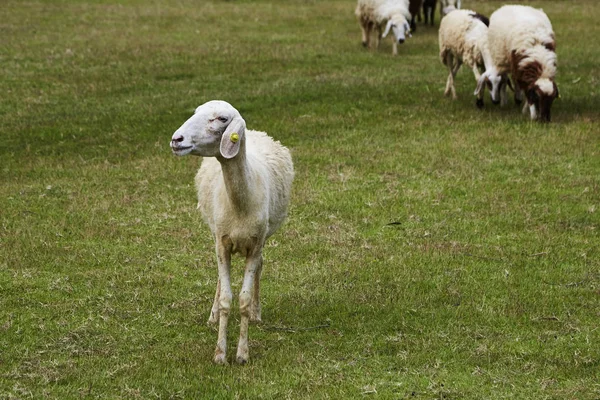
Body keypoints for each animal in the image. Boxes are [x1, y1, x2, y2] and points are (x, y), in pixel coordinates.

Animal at [170, 101, 294, 366]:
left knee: (261, 266)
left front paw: (242, 354)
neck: (239, 203)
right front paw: (219, 353)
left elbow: (244, 300)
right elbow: (227, 297)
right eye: (195, 113)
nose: (176, 139)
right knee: (219, 277)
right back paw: (213, 314)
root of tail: (257, 132)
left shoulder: (255, 244)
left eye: (221, 119)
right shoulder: (222, 243)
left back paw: (257, 314)